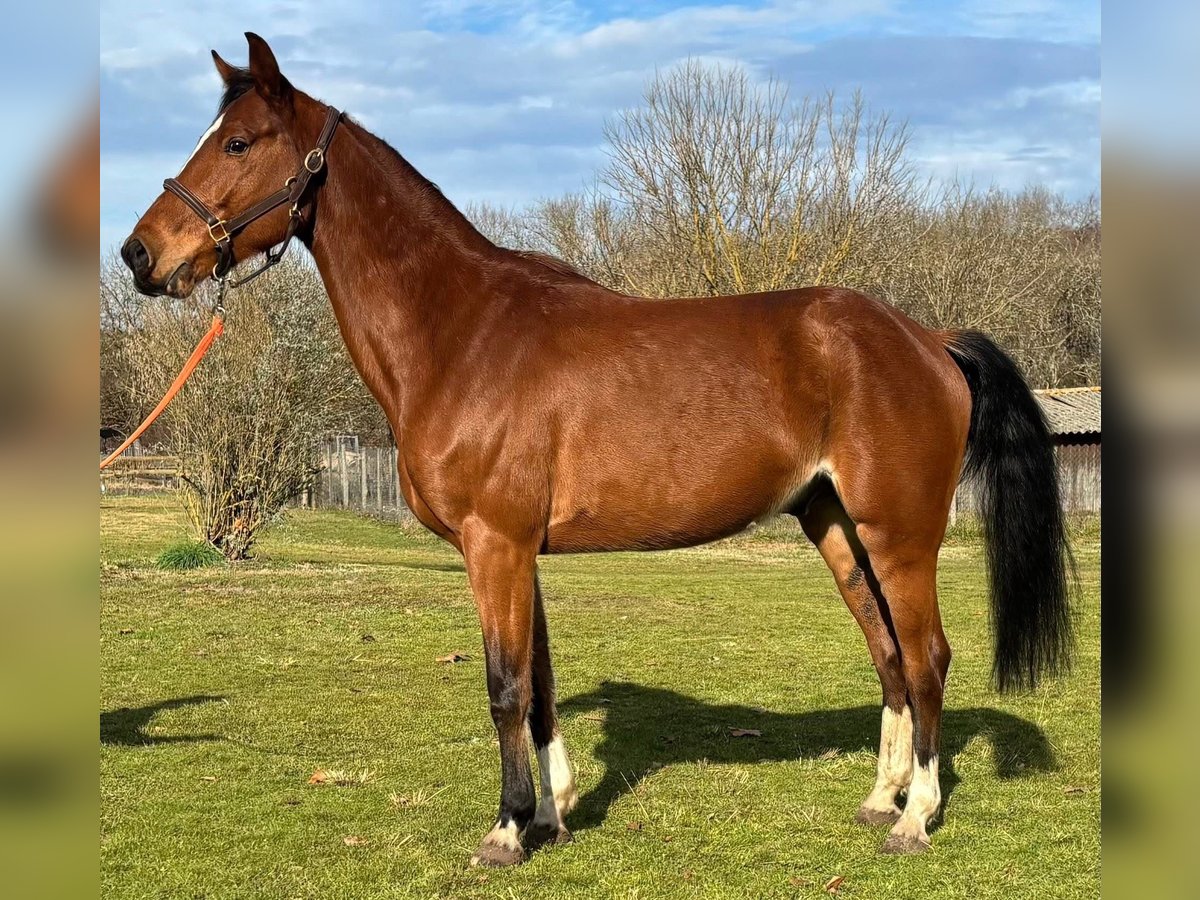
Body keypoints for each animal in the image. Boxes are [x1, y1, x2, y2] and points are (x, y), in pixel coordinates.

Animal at [120, 33, 1073, 867]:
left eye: (238, 141)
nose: (140, 254)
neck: (460, 332)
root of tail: (927, 339)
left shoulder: (494, 545)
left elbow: (504, 685)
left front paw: (507, 831)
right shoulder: (516, 552)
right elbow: (538, 687)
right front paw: (553, 811)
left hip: (900, 535)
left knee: (928, 656)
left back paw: (915, 818)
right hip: (833, 525)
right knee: (887, 654)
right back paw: (880, 797)